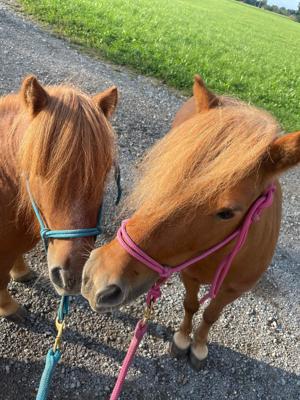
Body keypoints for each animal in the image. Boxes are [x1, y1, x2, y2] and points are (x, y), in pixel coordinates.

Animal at [0, 76, 117, 322]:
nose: (72, 276)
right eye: (39, 170)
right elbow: (1, 277)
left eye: (104, 173)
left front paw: (21, 272)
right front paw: (8, 307)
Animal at [82, 75, 300, 368]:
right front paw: (183, 339)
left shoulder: (234, 290)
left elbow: (210, 315)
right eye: (165, 174)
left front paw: (198, 346)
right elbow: (191, 305)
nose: (98, 278)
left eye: (227, 212)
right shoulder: (189, 274)